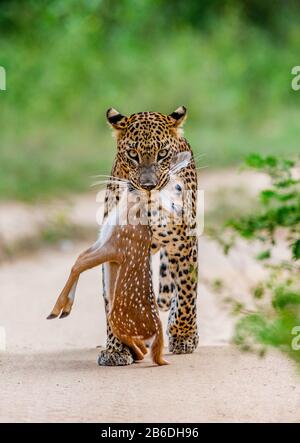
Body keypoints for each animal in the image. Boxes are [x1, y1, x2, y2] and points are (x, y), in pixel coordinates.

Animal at [97, 106, 198, 366]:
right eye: (133, 154)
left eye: (162, 154)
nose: (148, 186)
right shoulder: (115, 249)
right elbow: (113, 299)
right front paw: (116, 349)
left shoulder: (183, 243)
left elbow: (186, 292)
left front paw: (184, 337)